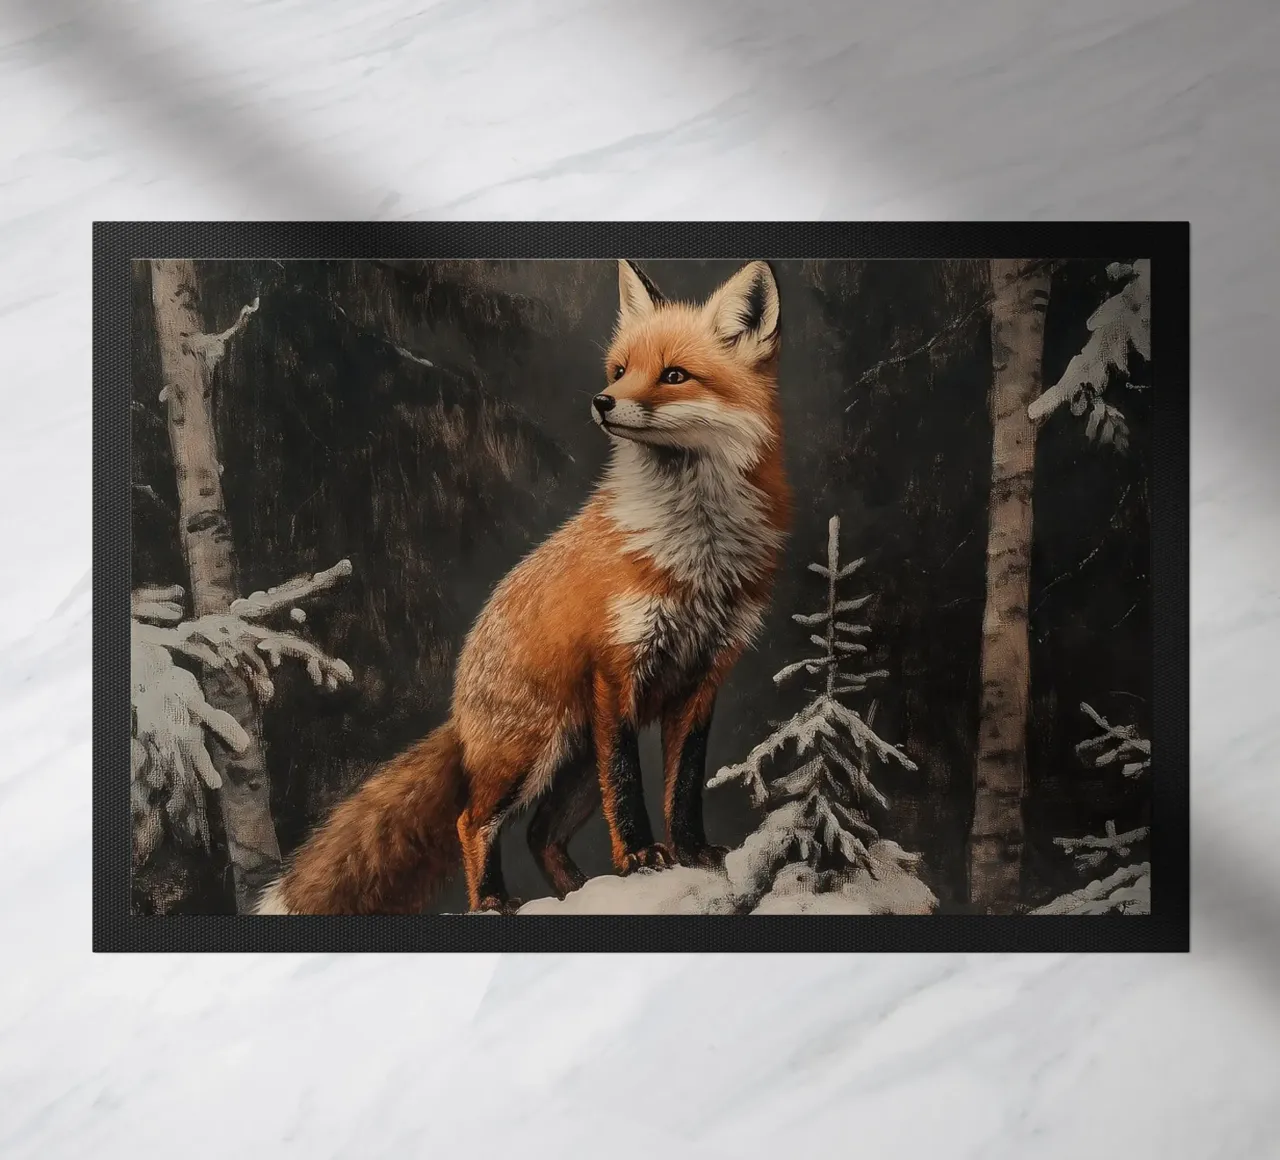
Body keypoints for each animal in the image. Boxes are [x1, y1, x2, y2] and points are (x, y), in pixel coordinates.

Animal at [256, 258, 791, 915]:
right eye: (620, 370)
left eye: (674, 375)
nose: (602, 401)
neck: (697, 551)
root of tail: (460, 703)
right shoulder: (616, 670)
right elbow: (629, 789)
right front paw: (642, 856)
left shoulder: (704, 679)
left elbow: (683, 787)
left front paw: (691, 852)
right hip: (535, 752)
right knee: (473, 820)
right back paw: (492, 901)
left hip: (574, 766)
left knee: (540, 835)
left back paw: (579, 894)